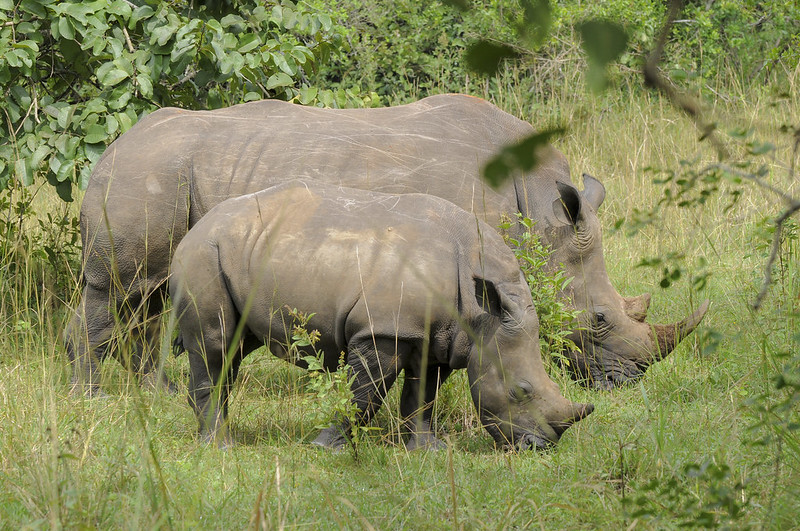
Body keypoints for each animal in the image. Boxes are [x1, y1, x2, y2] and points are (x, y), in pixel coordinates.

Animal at [67, 92, 708, 394]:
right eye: (598, 319)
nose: (627, 383)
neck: (538, 211)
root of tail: (112, 144)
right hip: (141, 175)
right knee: (116, 290)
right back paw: (93, 397)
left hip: (162, 175)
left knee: (146, 297)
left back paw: (152, 393)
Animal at [169, 181, 592, 450]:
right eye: (521, 391)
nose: (539, 447)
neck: (481, 314)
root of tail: (195, 228)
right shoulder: (387, 330)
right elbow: (365, 392)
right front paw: (327, 446)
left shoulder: (437, 336)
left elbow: (422, 395)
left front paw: (426, 450)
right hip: (204, 253)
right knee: (215, 343)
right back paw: (219, 446)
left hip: (240, 252)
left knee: (235, 347)